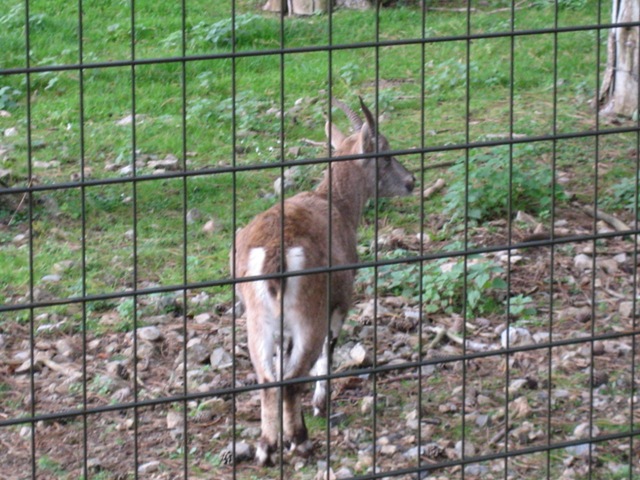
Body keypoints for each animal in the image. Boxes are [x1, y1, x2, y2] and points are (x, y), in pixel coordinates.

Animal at [230, 97, 416, 464]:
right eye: (385, 154)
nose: (411, 182)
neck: (334, 203)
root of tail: (275, 255)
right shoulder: (339, 302)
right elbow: (328, 351)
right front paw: (319, 404)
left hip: (258, 318)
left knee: (268, 377)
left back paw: (266, 446)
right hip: (308, 314)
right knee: (293, 377)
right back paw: (299, 441)